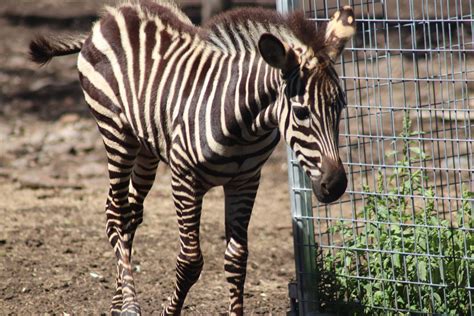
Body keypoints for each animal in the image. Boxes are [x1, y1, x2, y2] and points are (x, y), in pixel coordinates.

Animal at [30, 1, 356, 314]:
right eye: (301, 112)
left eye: (341, 105)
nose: (336, 185)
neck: (243, 124)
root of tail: (109, 15)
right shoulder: (184, 180)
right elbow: (190, 261)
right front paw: (168, 310)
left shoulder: (245, 181)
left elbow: (237, 259)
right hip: (115, 132)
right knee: (116, 212)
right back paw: (131, 304)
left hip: (147, 146)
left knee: (131, 213)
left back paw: (118, 303)